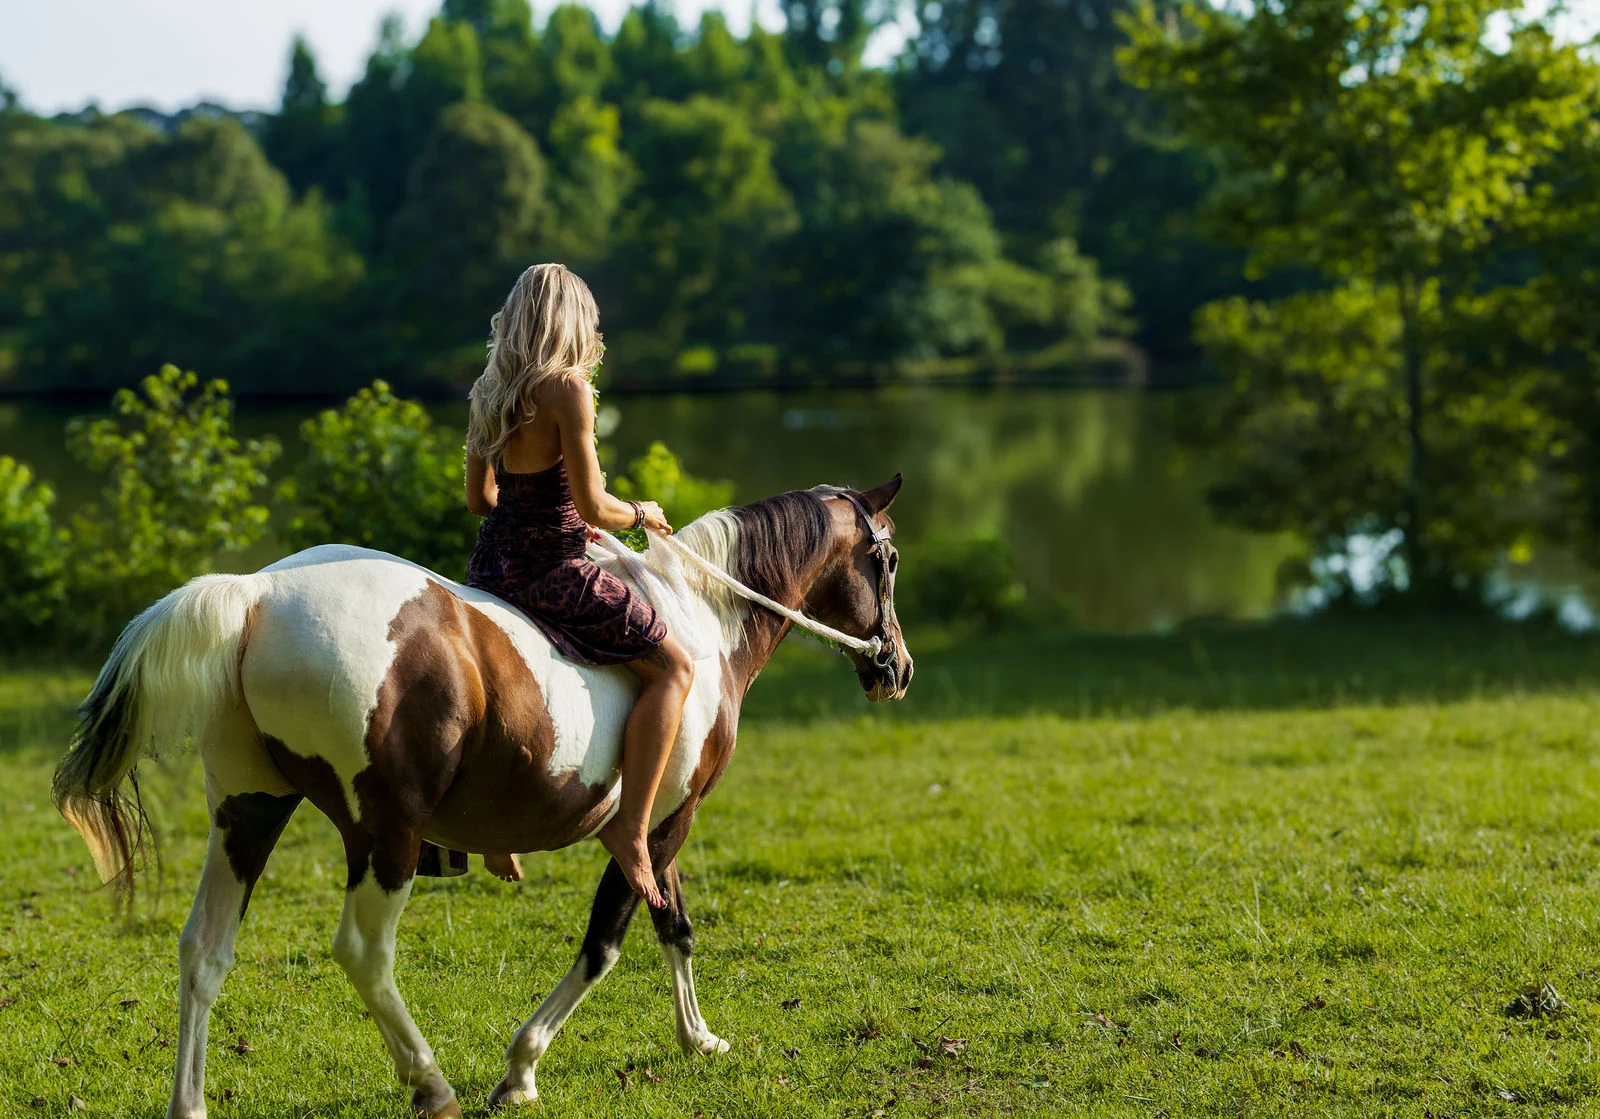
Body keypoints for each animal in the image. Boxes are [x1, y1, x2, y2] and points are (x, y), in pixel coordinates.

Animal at [52, 476, 912, 1119]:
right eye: (889, 558)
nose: (896, 668)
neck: (700, 621)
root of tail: (258, 595)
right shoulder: (659, 823)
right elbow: (610, 939)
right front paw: (521, 1068)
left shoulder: (659, 826)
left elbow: (675, 924)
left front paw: (697, 1038)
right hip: (385, 833)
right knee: (363, 952)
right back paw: (431, 1083)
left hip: (248, 811)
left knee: (204, 949)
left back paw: (191, 1100)